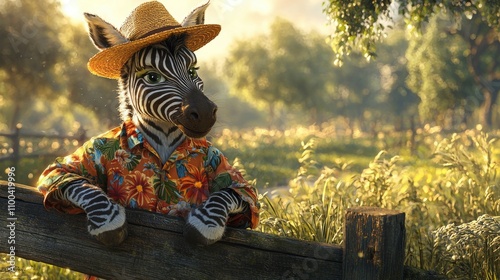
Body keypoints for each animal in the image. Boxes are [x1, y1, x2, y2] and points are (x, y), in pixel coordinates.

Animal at [36, 1, 258, 246]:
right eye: (153, 77)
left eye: (193, 71)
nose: (205, 114)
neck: (163, 140)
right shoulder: (66, 167)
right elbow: (77, 182)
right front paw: (109, 222)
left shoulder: (231, 175)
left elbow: (231, 193)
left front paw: (205, 224)